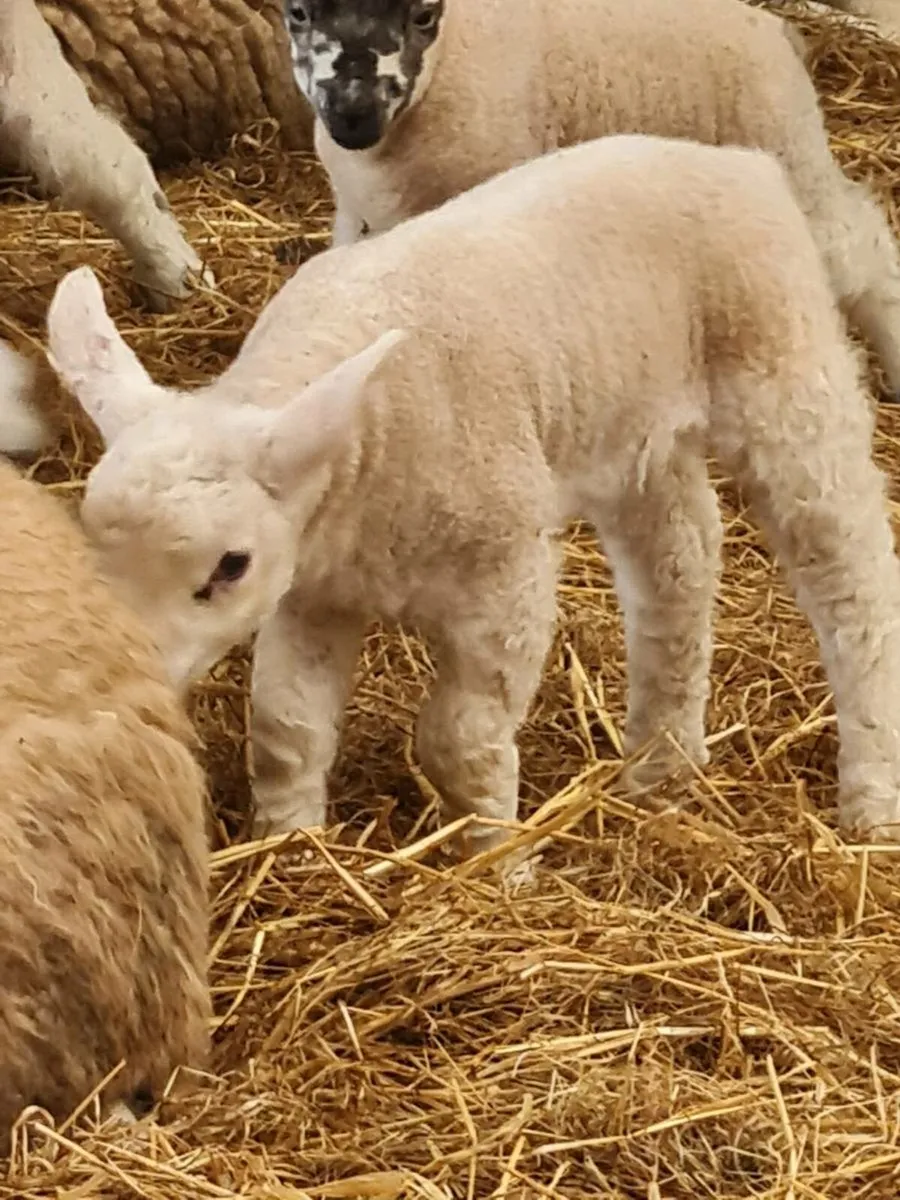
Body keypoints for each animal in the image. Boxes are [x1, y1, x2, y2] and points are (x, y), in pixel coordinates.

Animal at [45, 133, 900, 859]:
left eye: (229, 566)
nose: (130, 683)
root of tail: (741, 161)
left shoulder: (504, 570)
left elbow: (459, 740)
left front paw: (498, 863)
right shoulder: (315, 587)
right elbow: (285, 728)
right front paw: (291, 849)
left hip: (786, 370)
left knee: (852, 581)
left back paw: (869, 800)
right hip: (631, 427)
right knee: (679, 560)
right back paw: (662, 770)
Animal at [283, 0, 900, 399]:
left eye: (422, 16)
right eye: (299, 12)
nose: (352, 114)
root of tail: (776, 30)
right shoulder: (359, 215)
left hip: (781, 136)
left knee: (858, 244)